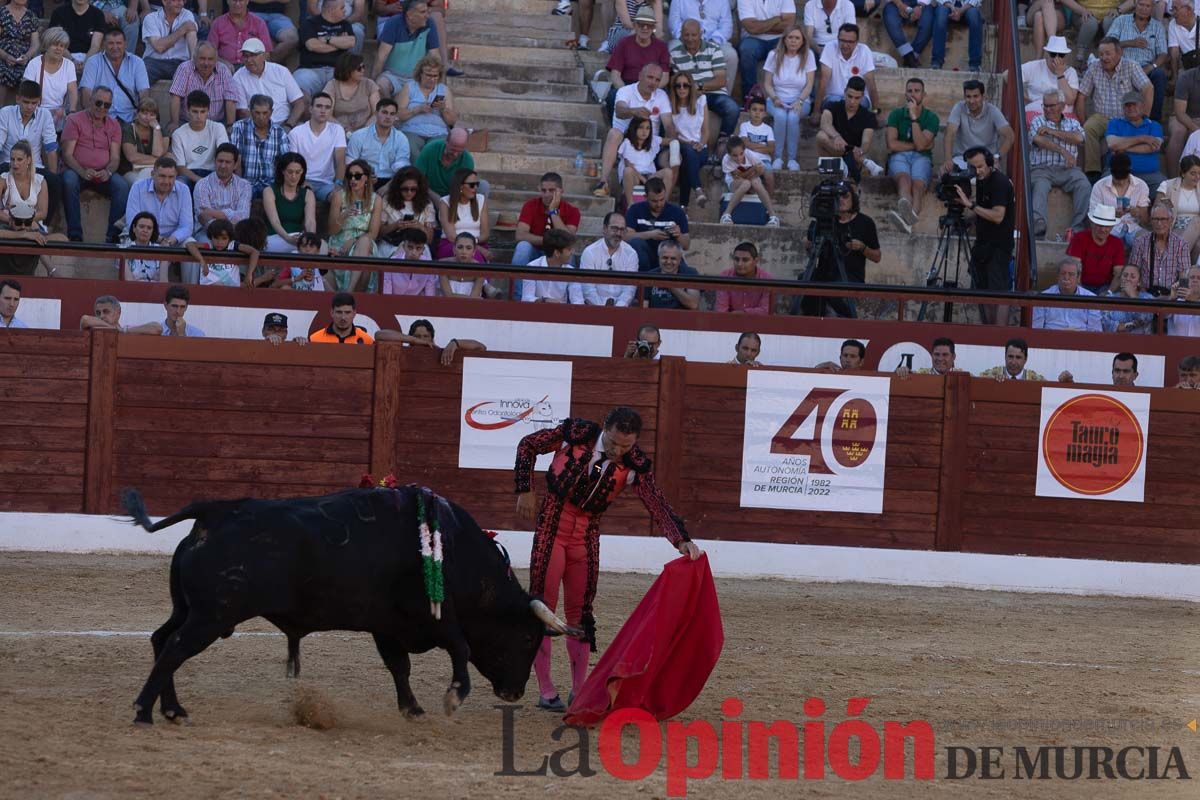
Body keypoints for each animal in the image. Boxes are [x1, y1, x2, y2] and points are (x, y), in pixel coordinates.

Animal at [124, 489, 573, 724]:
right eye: (527, 637)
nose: (515, 692)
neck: (453, 551)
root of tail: (213, 511)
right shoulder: (436, 617)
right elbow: (460, 647)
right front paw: (453, 697)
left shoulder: (387, 626)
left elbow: (399, 666)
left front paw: (412, 708)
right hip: (212, 615)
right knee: (174, 648)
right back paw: (145, 710)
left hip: (190, 610)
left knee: (161, 639)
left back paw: (172, 709)